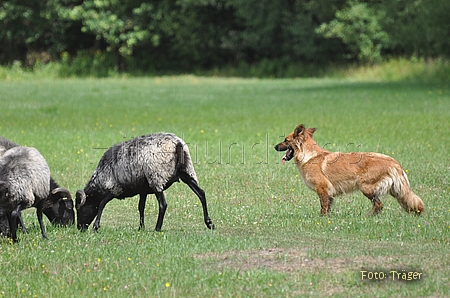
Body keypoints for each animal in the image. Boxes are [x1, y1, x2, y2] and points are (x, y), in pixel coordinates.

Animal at [76, 133, 216, 233]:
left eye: (80, 209)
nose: (79, 228)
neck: (100, 180)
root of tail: (177, 144)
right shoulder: (142, 190)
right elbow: (141, 207)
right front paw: (141, 228)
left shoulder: (115, 188)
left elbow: (101, 204)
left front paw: (96, 227)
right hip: (186, 171)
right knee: (201, 194)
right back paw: (209, 223)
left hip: (157, 177)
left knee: (163, 204)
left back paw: (157, 228)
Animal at [274, 124, 426, 215]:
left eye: (286, 140)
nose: (275, 146)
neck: (308, 155)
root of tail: (393, 162)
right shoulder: (329, 193)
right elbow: (328, 207)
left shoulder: (322, 189)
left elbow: (323, 207)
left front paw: (321, 219)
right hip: (396, 191)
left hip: (366, 187)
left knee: (379, 204)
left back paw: (367, 217)